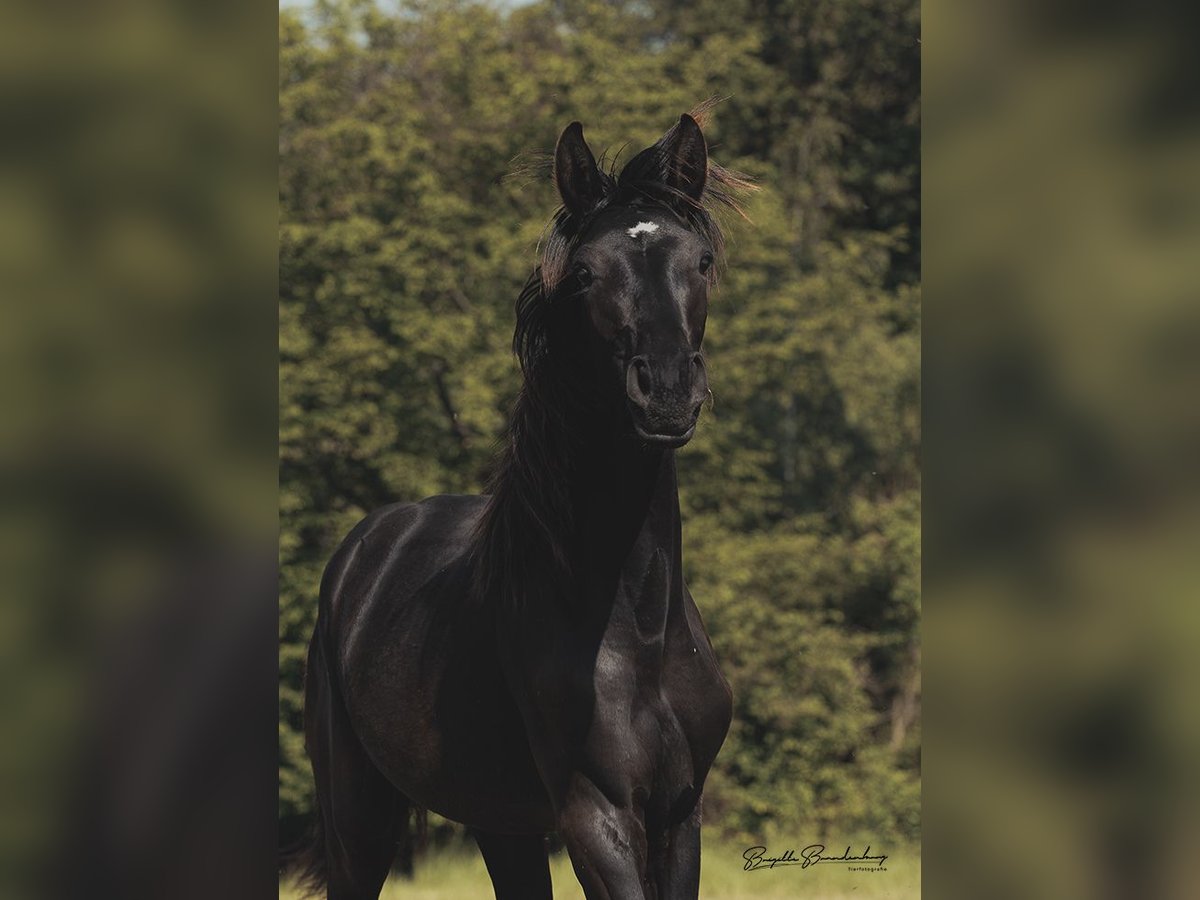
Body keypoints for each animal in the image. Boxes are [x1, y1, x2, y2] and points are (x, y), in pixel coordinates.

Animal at [292, 112, 748, 900]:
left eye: (701, 261)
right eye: (587, 272)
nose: (665, 391)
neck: (636, 630)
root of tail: (365, 546)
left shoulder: (677, 816)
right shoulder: (595, 816)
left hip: (499, 822)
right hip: (358, 819)